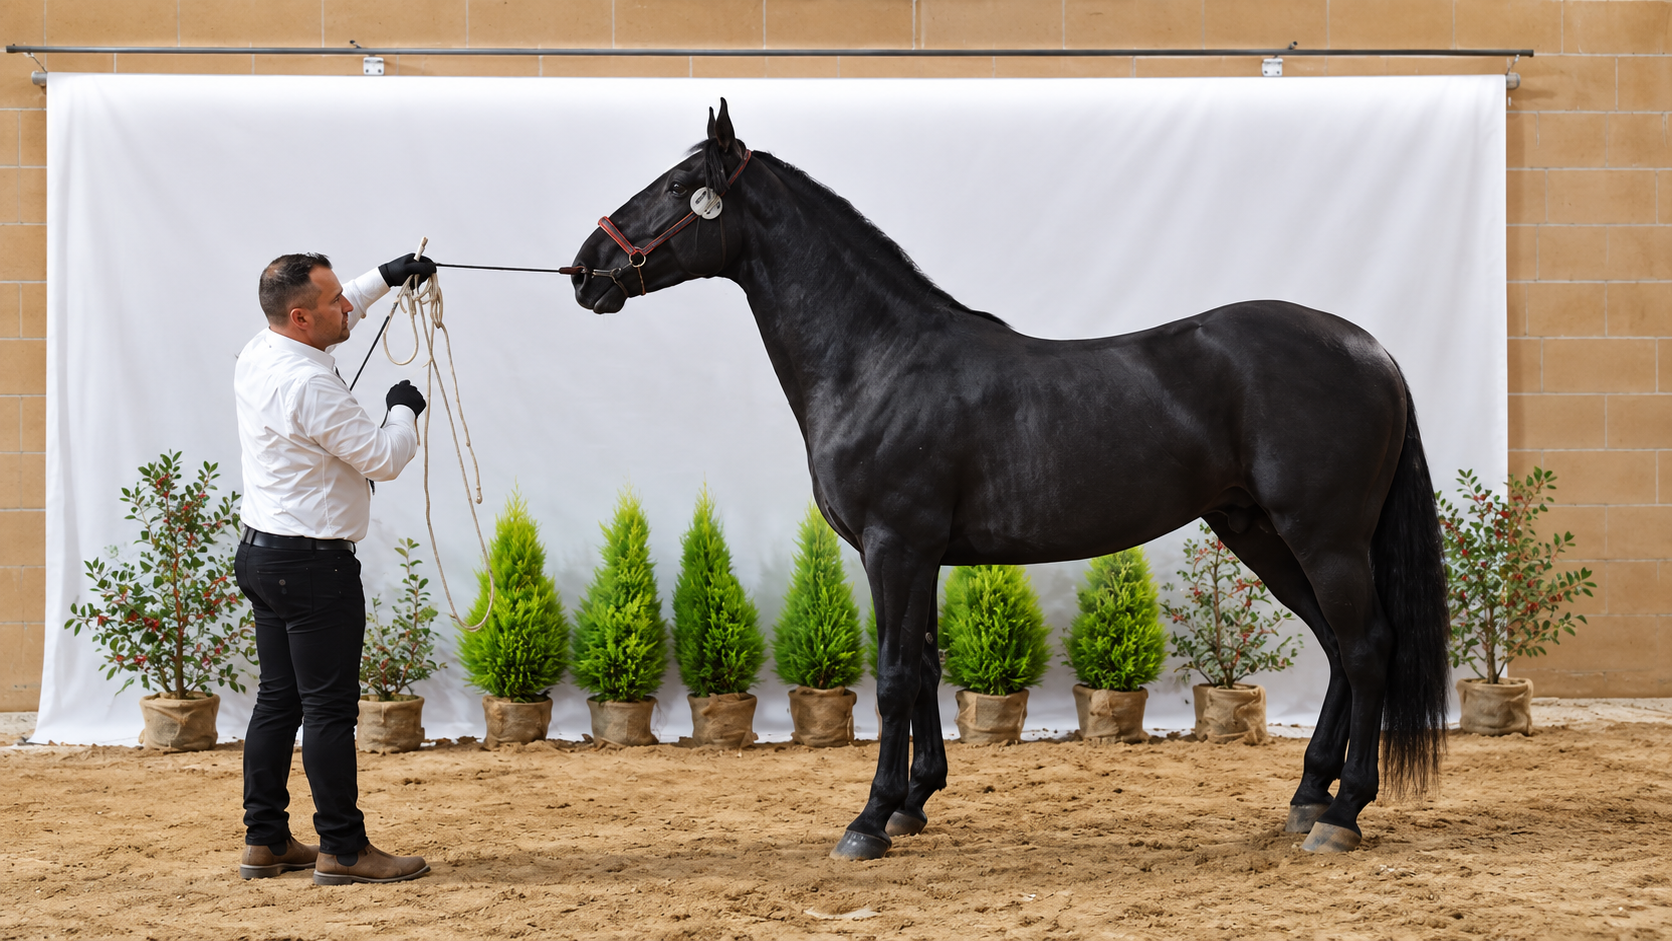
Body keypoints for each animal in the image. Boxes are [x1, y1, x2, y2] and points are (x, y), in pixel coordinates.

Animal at [564, 99, 1450, 860]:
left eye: (676, 187)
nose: (583, 269)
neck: (878, 358)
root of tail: (1374, 350)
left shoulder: (896, 546)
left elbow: (893, 676)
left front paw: (868, 820)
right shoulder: (913, 554)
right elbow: (923, 667)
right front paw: (914, 801)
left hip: (1324, 537)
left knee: (1366, 646)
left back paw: (1341, 813)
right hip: (1260, 531)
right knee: (1338, 647)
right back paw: (1308, 794)